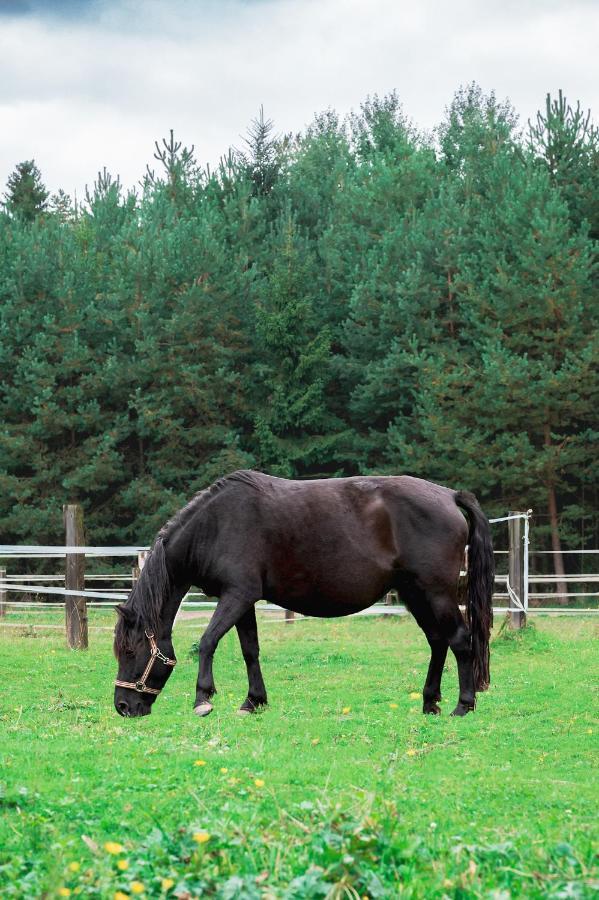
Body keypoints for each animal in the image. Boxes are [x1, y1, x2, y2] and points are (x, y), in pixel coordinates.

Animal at [115, 472, 494, 716]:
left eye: (131, 651)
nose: (123, 706)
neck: (215, 526)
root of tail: (449, 495)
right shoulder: (243, 600)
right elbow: (250, 650)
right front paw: (253, 701)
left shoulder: (237, 595)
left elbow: (208, 641)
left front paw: (203, 699)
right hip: (414, 593)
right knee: (437, 641)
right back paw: (430, 702)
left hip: (437, 593)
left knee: (460, 640)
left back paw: (463, 705)